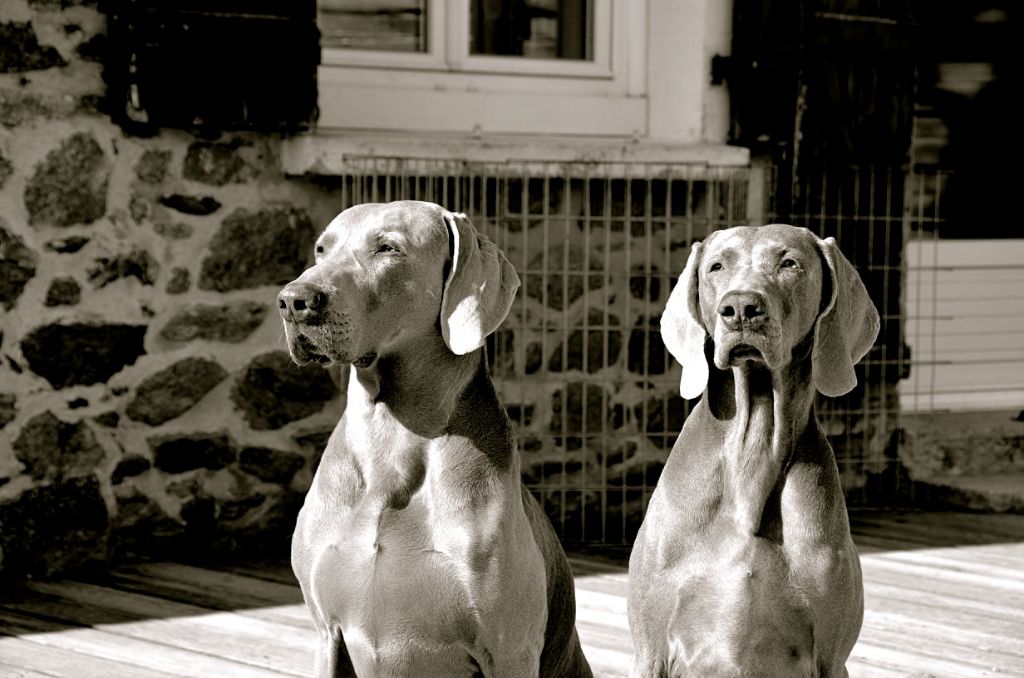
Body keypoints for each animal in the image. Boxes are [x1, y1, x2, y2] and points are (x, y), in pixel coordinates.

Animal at [276, 200, 593, 678]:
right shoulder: (326, 633)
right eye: (321, 249)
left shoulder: (509, 650)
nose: (294, 301)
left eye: (388, 248)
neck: (393, 441)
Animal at [626, 225, 876, 675]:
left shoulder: (831, 657)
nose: (741, 307)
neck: (753, 453)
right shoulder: (650, 652)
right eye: (716, 267)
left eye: (790, 263)